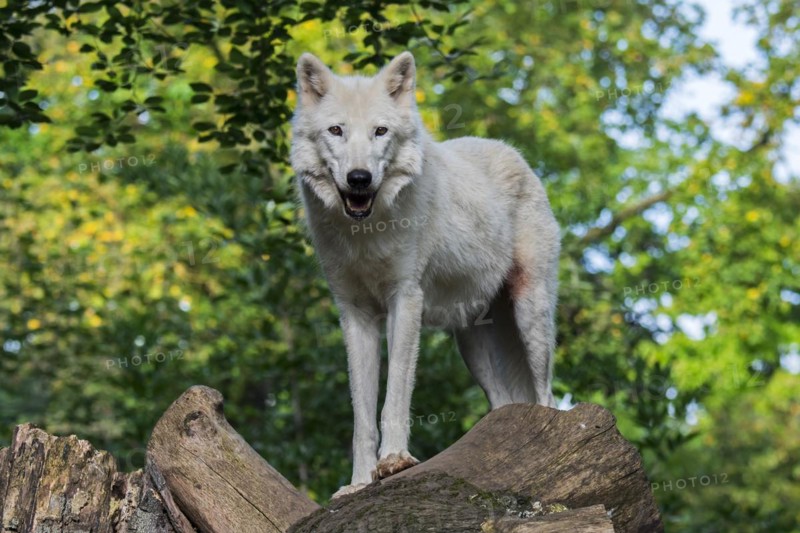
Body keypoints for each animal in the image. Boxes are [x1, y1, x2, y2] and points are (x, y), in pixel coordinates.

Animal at [290, 51, 560, 498]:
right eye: (336, 130)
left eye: (380, 131)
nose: (359, 178)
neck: (366, 233)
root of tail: (512, 151)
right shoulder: (355, 314)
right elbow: (361, 416)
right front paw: (358, 483)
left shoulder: (406, 299)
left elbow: (395, 395)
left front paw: (394, 462)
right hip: (472, 344)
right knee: (503, 401)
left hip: (531, 314)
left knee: (547, 395)